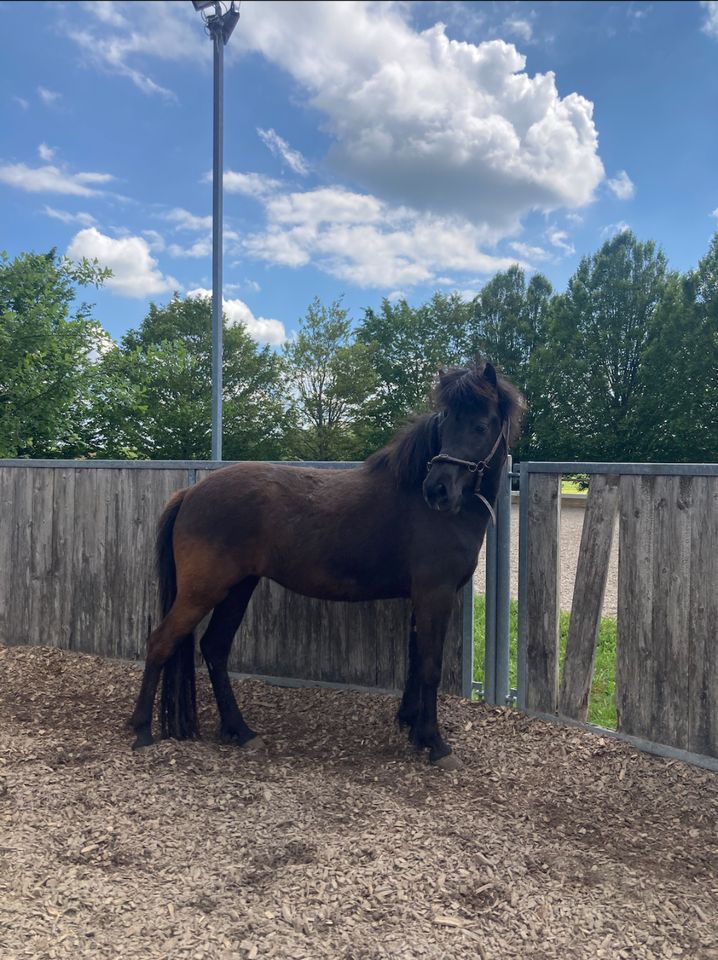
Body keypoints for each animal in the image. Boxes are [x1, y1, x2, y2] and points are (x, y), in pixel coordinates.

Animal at [131, 364, 524, 768]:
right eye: (446, 424)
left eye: (480, 425)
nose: (438, 490)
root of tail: (190, 493)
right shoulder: (436, 595)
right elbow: (430, 666)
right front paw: (436, 744)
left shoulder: (423, 598)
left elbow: (415, 662)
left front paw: (413, 727)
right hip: (202, 592)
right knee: (161, 642)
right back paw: (142, 731)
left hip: (238, 588)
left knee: (214, 648)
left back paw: (241, 731)